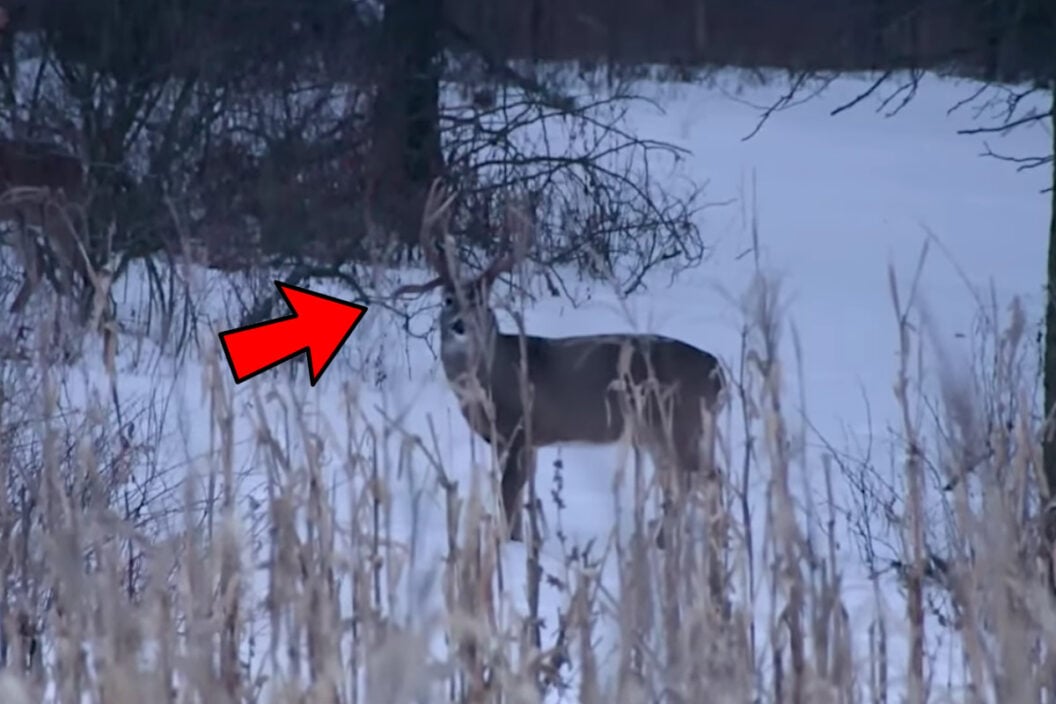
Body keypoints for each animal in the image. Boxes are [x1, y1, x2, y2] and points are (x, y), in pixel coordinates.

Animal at [392, 177, 730, 557]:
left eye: (483, 301)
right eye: (448, 299)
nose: (460, 325)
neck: (489, 379)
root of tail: (718, 373)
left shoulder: (518, 430)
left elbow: (508, 501)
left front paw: (507, 548)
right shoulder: (530, 442)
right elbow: (523, 498)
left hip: (683, 425)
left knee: (710, 478)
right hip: (663, 434)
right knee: (683, 486)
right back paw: (663, 544)